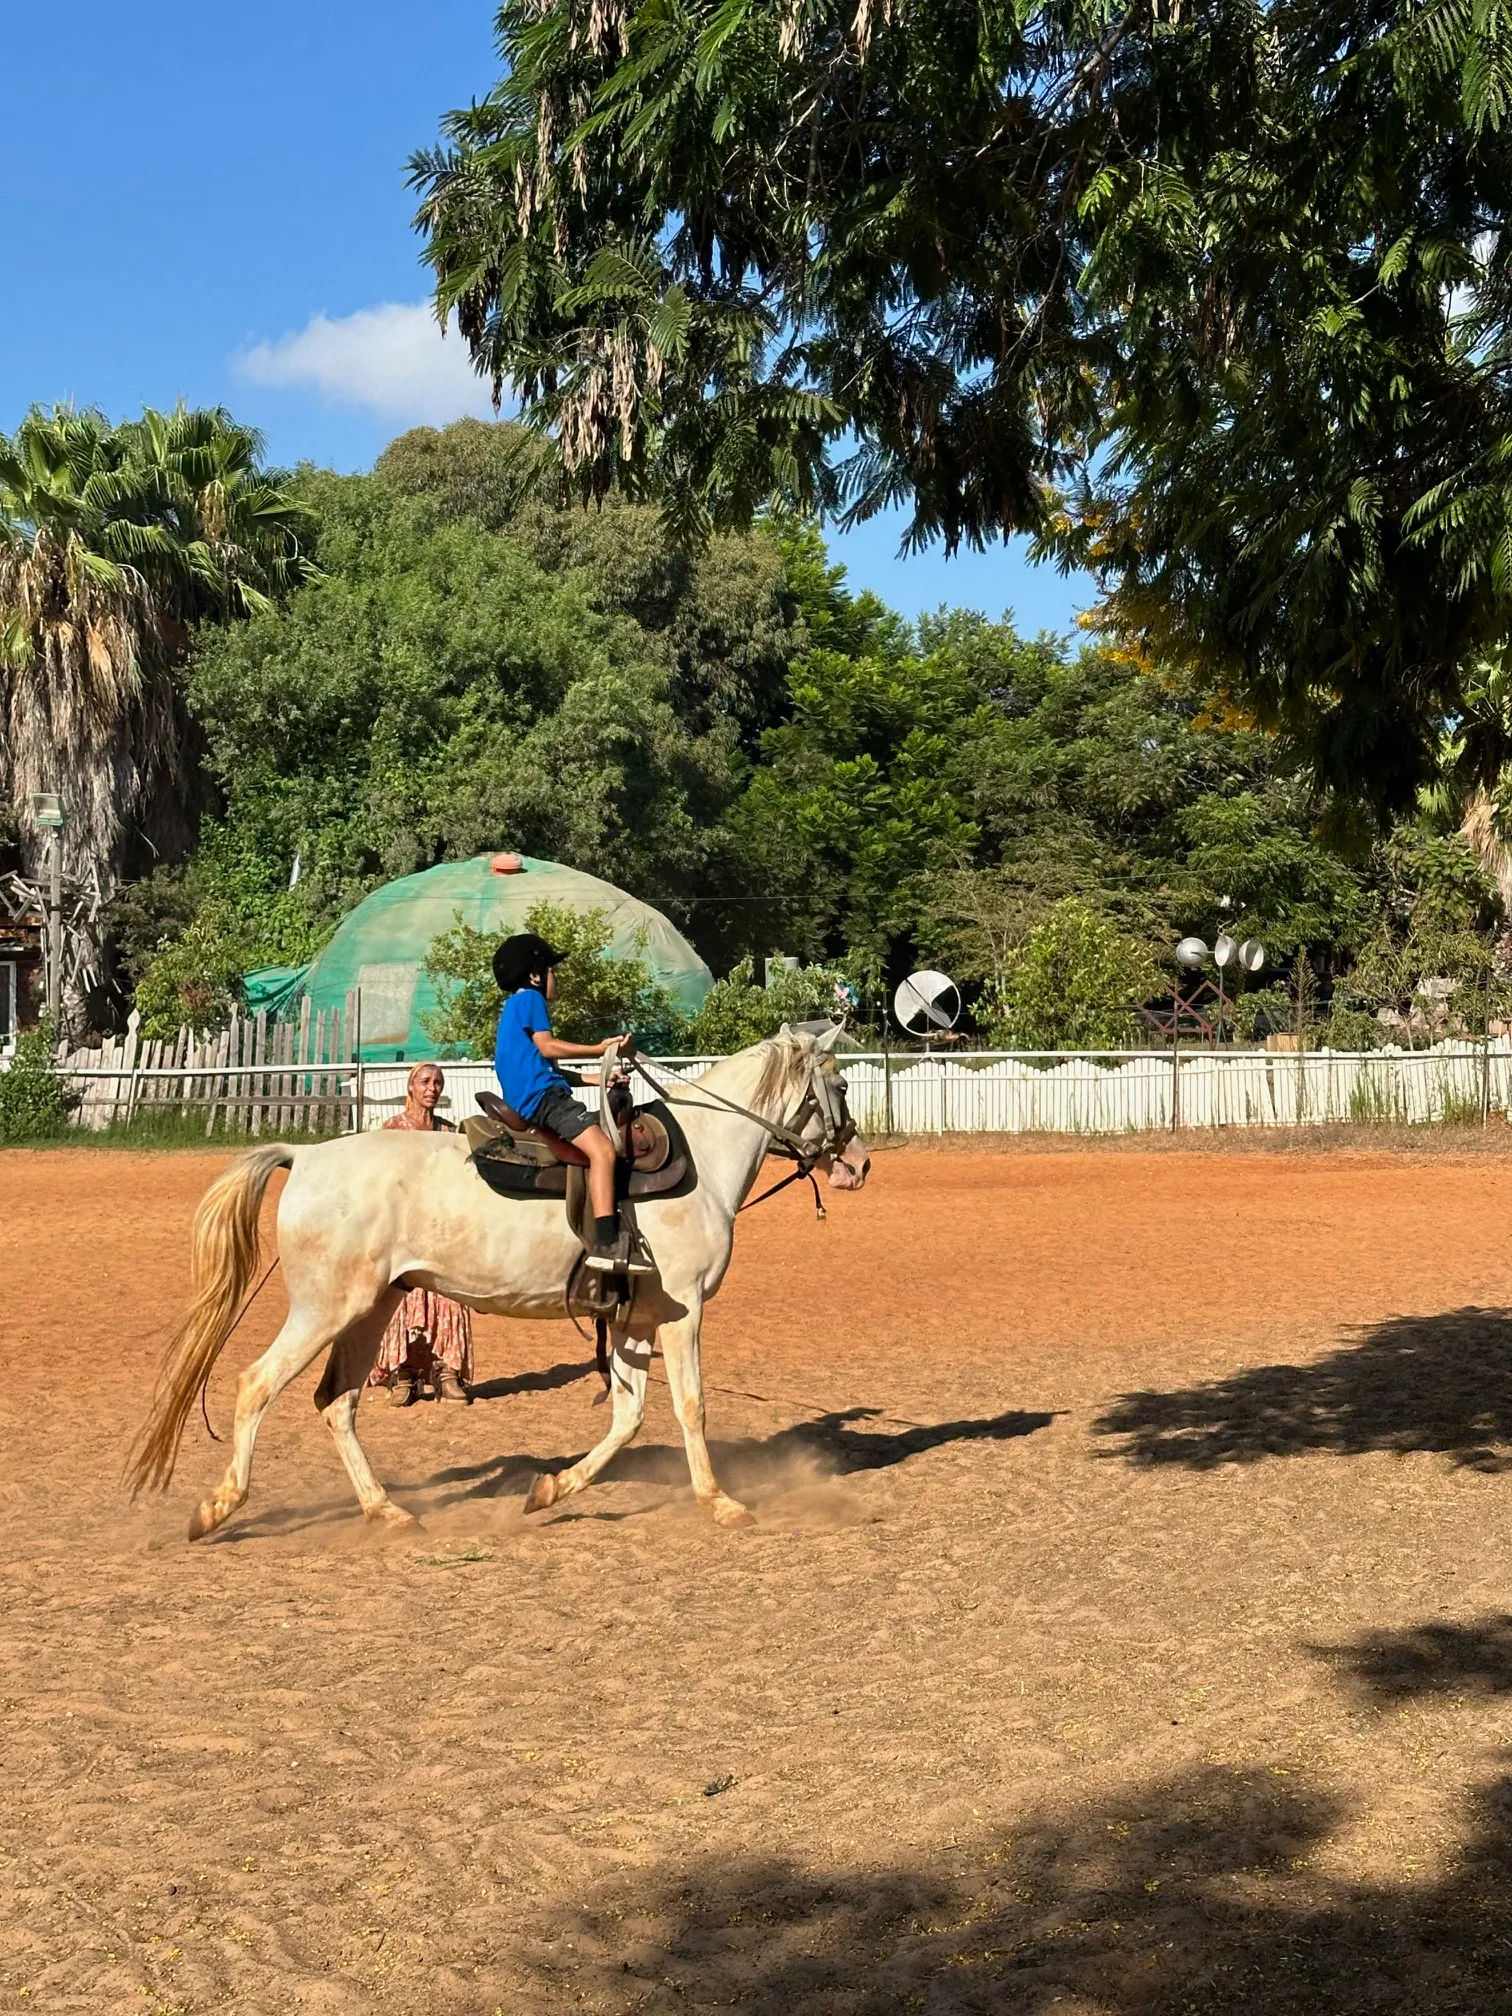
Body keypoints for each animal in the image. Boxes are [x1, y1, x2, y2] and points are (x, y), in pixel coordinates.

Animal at [129, 1032, 870, 1532]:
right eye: (839, 1085)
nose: (858, 1164)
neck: (705, 1158)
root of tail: (305, 1157)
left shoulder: (632, 1320)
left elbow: (628, 1417)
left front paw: (550, 1490)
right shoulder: (682, 1313)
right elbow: (691, 1407)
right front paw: (720, 1502)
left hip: (369, 1310)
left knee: (337, 1404)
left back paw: (387, 1510)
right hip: (325, 1310)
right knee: (258, 1385)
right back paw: (218, 1507)